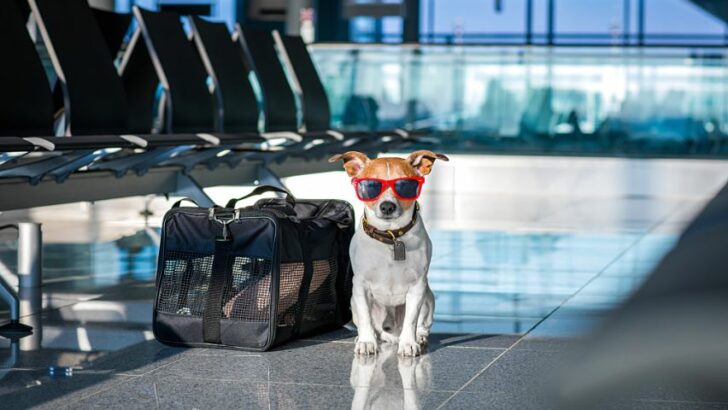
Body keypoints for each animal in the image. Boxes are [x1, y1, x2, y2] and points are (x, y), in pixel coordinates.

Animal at [332, 150, 450, 356]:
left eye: (405, 185)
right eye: (370, 185)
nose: (387, 206)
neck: (391, 235)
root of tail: (391, 335)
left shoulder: (418, 286)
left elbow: (411, 320)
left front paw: (409, 343)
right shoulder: (360, 286)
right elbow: (365, 318)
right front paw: (366, 341)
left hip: (428, 297)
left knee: (421, 325)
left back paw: (418, 338)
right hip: (353, 301)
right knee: (370, 325)